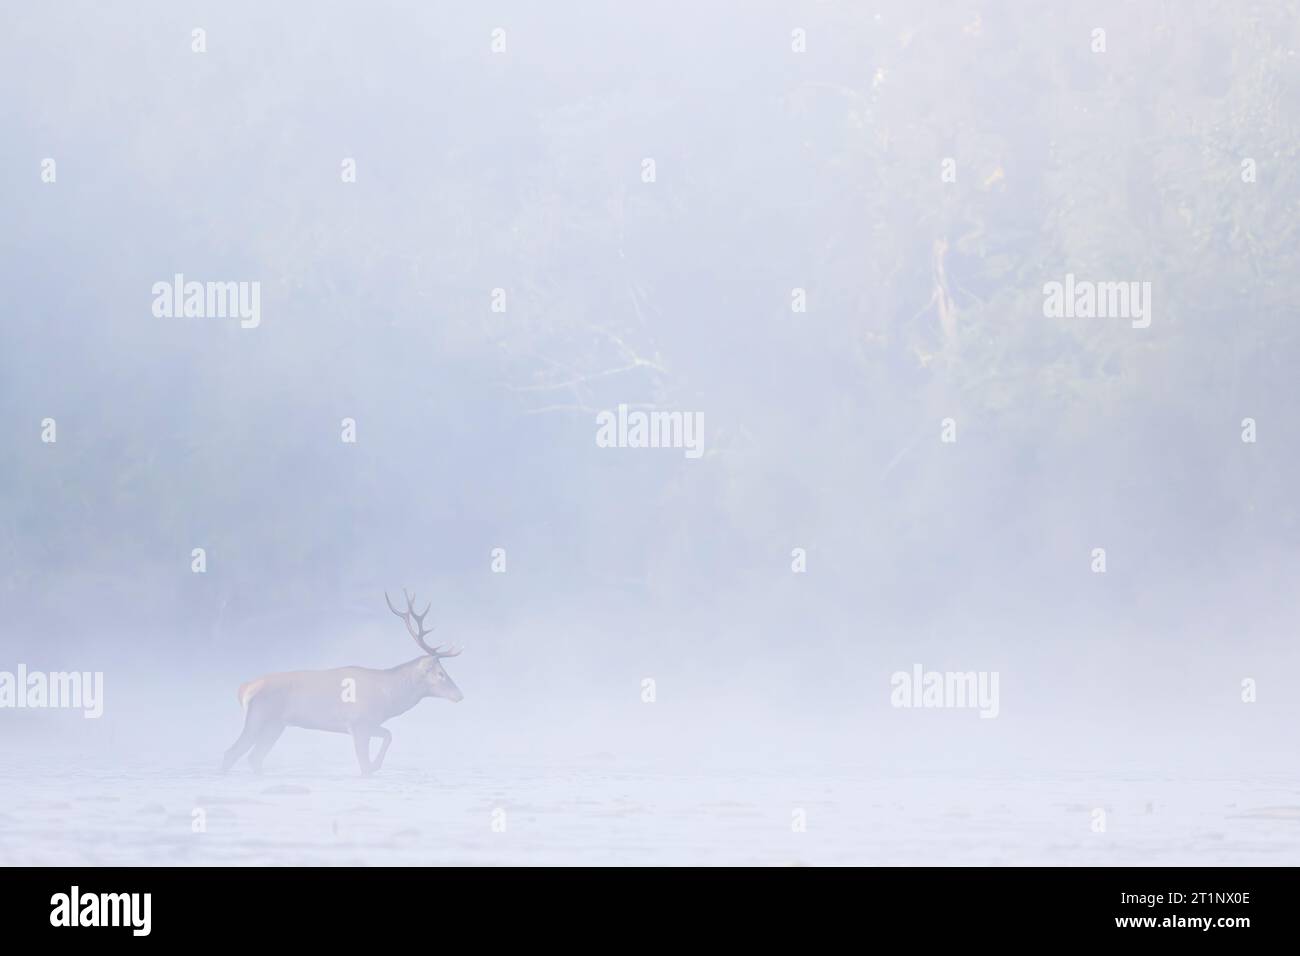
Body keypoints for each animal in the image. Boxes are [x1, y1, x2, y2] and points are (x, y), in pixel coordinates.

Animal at [222, 590, 462, 780]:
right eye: (440, 673)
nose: (459, 694)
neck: (388, 698)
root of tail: (244, 688)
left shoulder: (369, 724)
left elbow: (388, 735)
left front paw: (376, 765)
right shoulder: (358, 724)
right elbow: (365, 764)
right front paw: (373, 767)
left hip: (276, 725)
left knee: (254, 757)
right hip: (257, 717)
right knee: (231, 753)